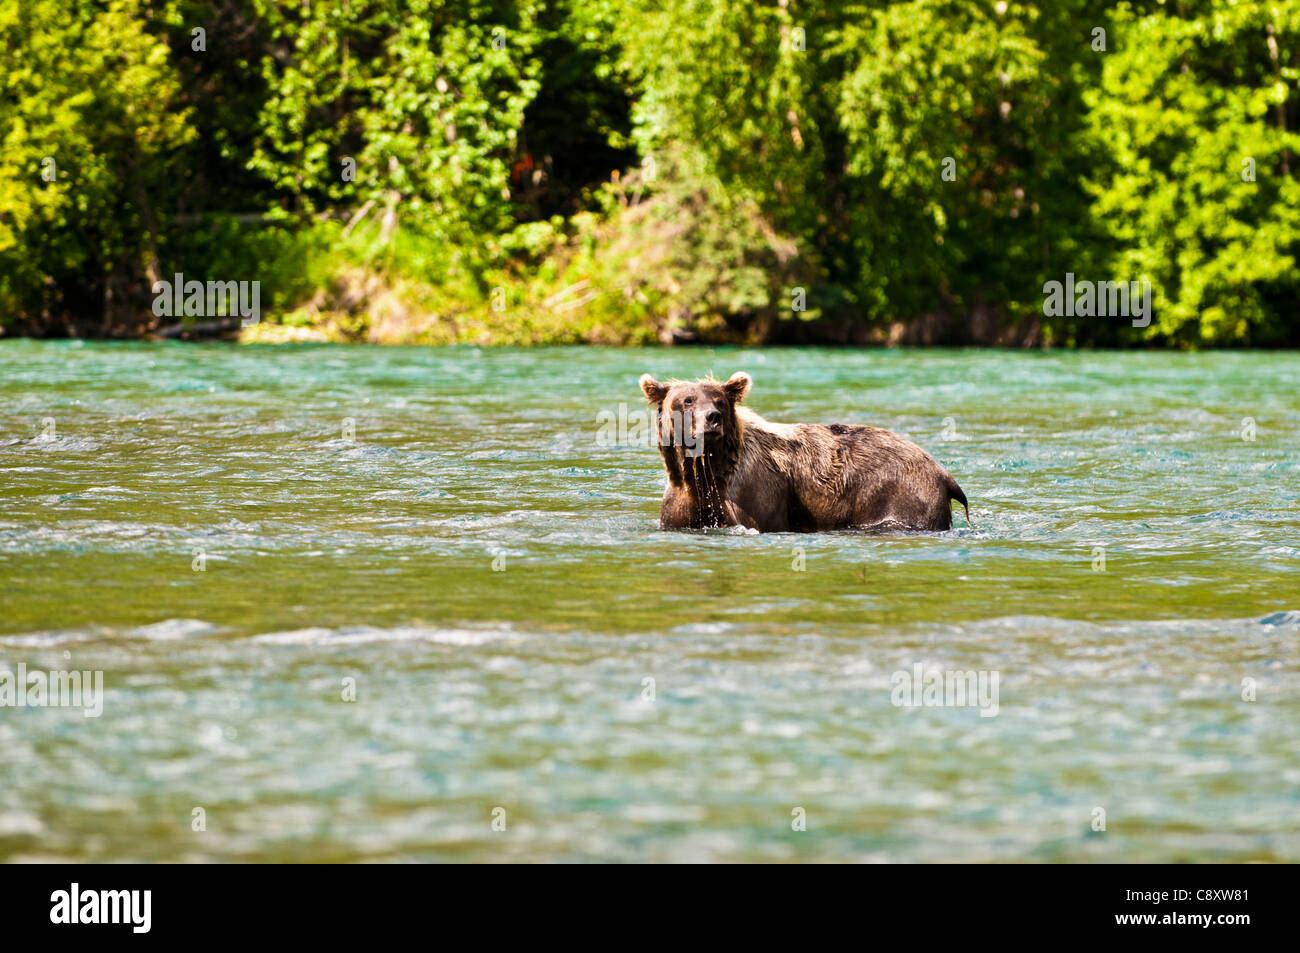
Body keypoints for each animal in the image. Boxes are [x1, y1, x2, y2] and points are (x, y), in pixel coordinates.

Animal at [639, 371, 970, 532]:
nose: (713, 418)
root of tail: (942, 472)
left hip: (903, 497)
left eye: (719, 399)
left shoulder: (755, 493)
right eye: (687, 400)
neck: (708, 470)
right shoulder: (682, 502)